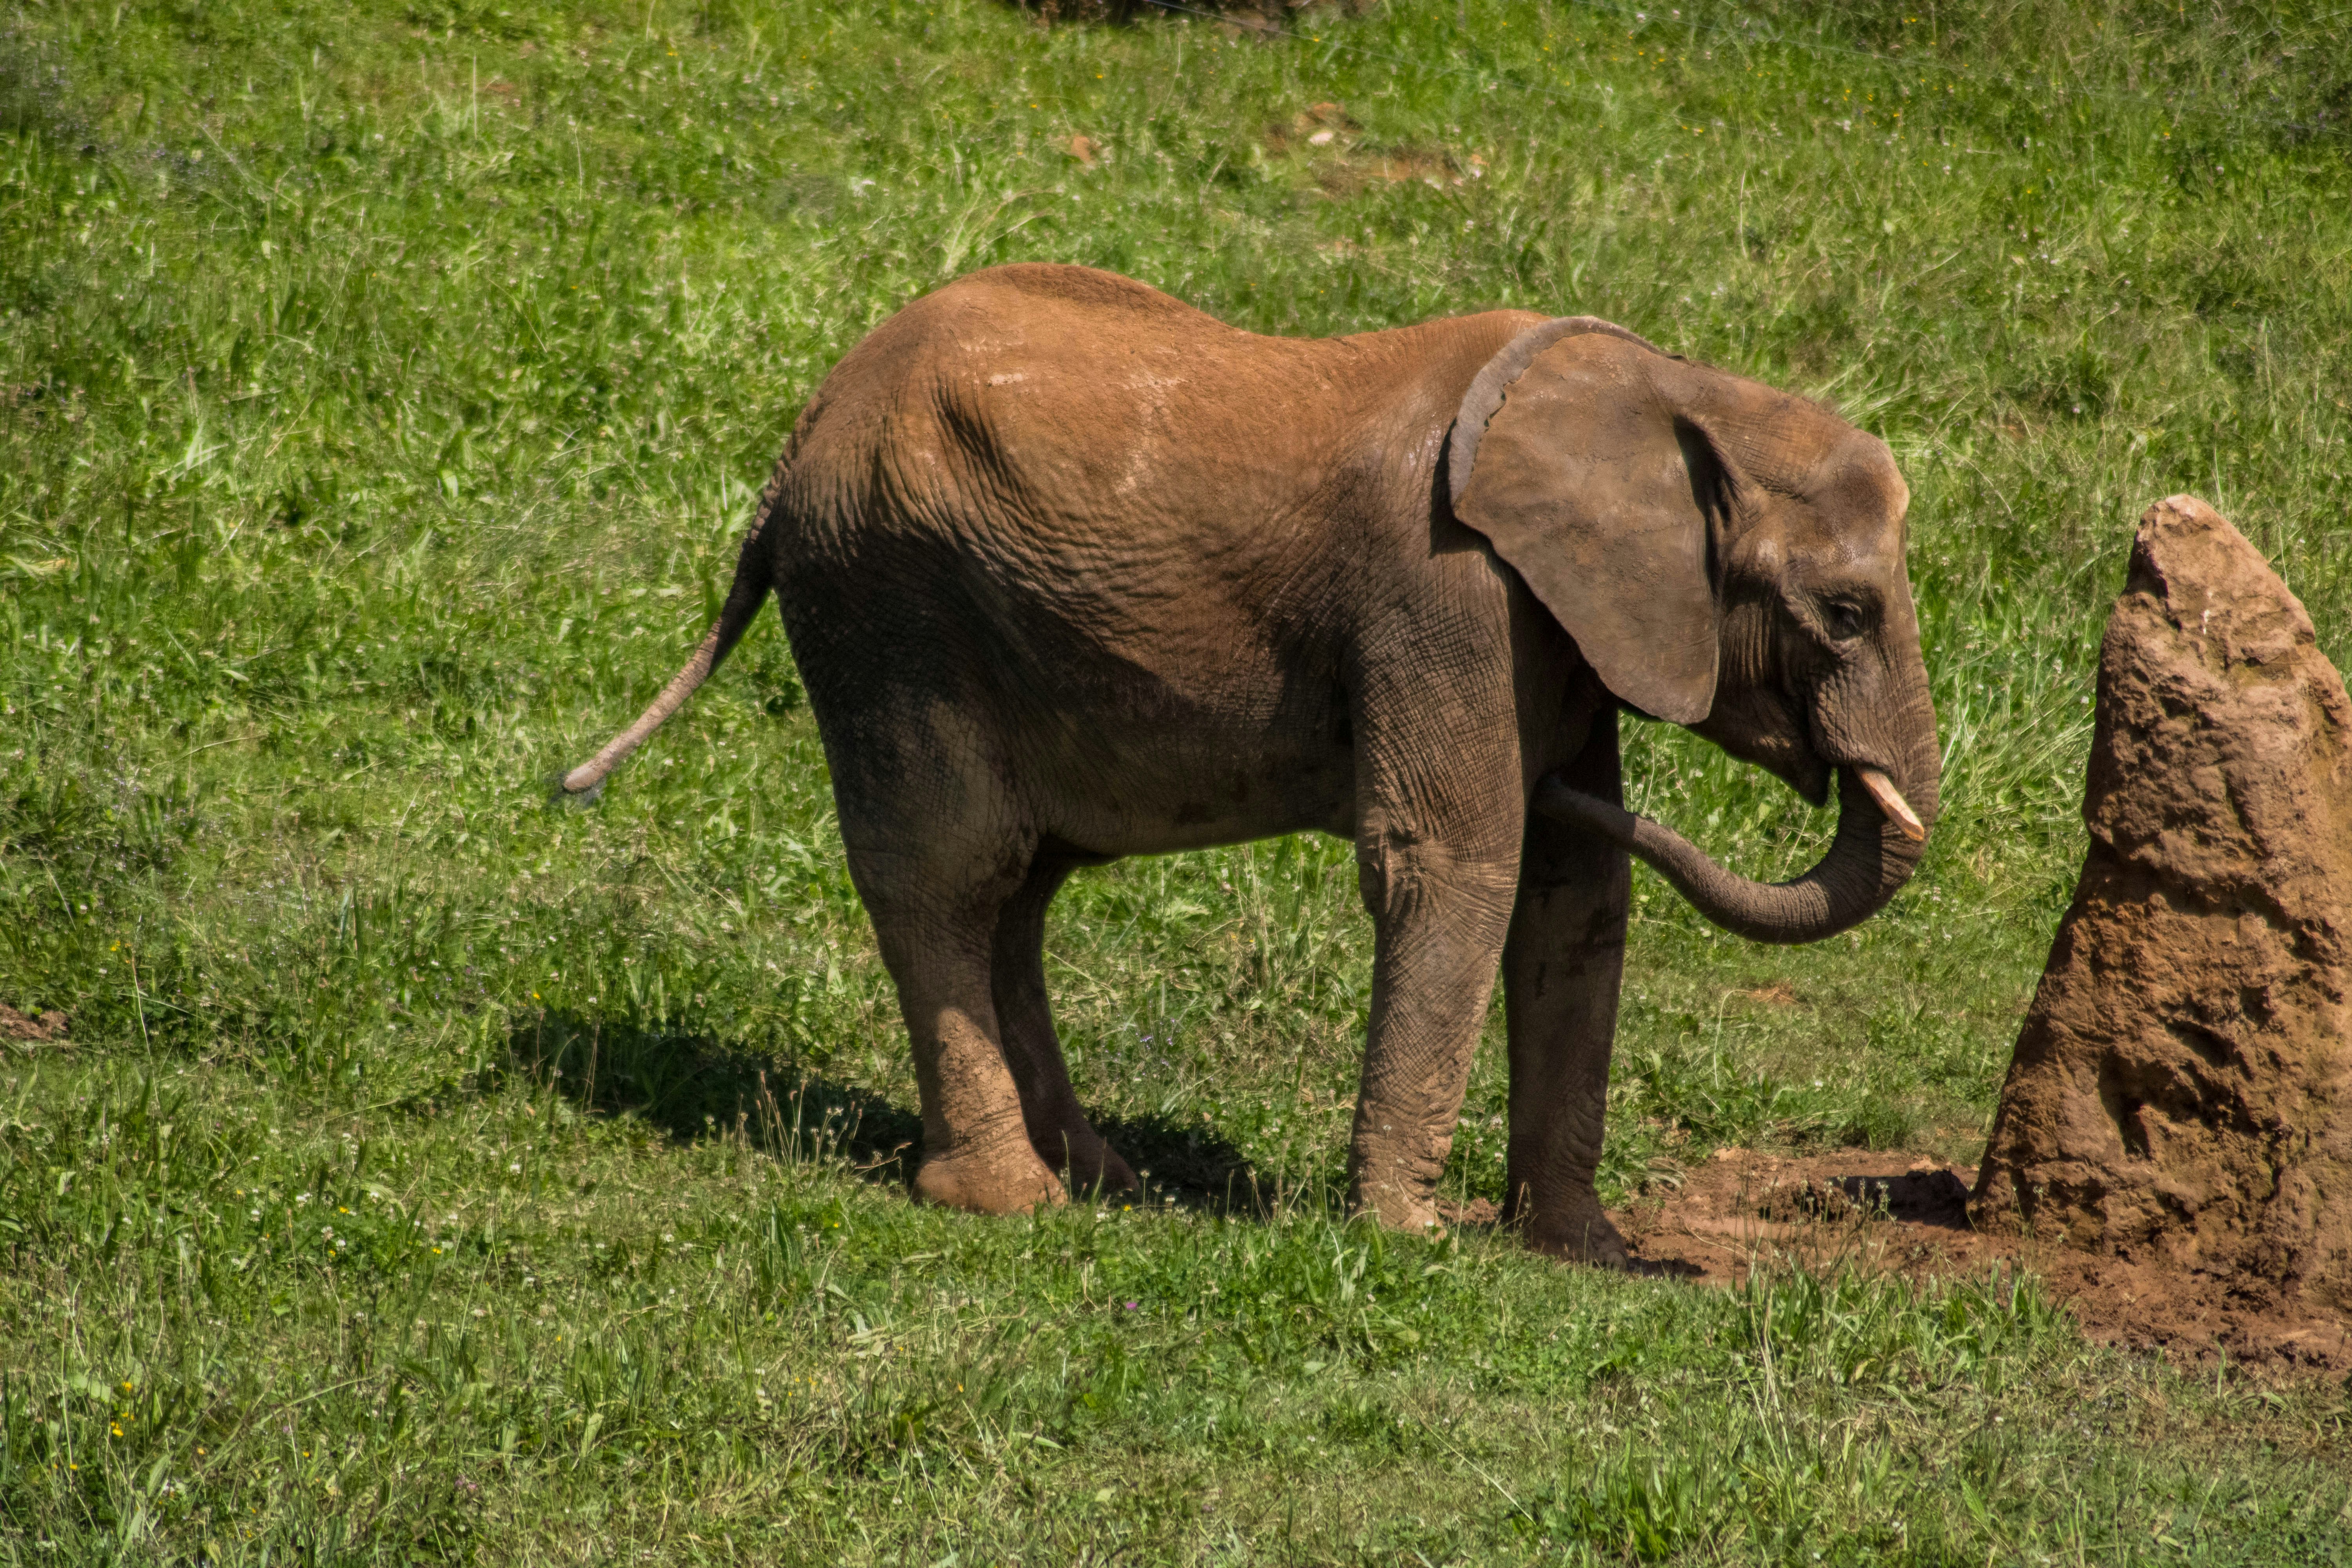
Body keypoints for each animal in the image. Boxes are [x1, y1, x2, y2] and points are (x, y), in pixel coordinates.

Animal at [563, 263, 1938, 1263]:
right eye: (1845, 612)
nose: (1671, 1265)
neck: (1667, 389)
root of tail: (800, 435)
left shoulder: (1558, 626)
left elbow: (1573, 894)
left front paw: (1577, 1252)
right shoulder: (1442, 597)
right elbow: (1454, 862)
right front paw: (1410, 1242)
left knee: (1020, 890)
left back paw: (1107, 1181)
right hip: (889, 607)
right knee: (951, 873)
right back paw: (1012, 1202)